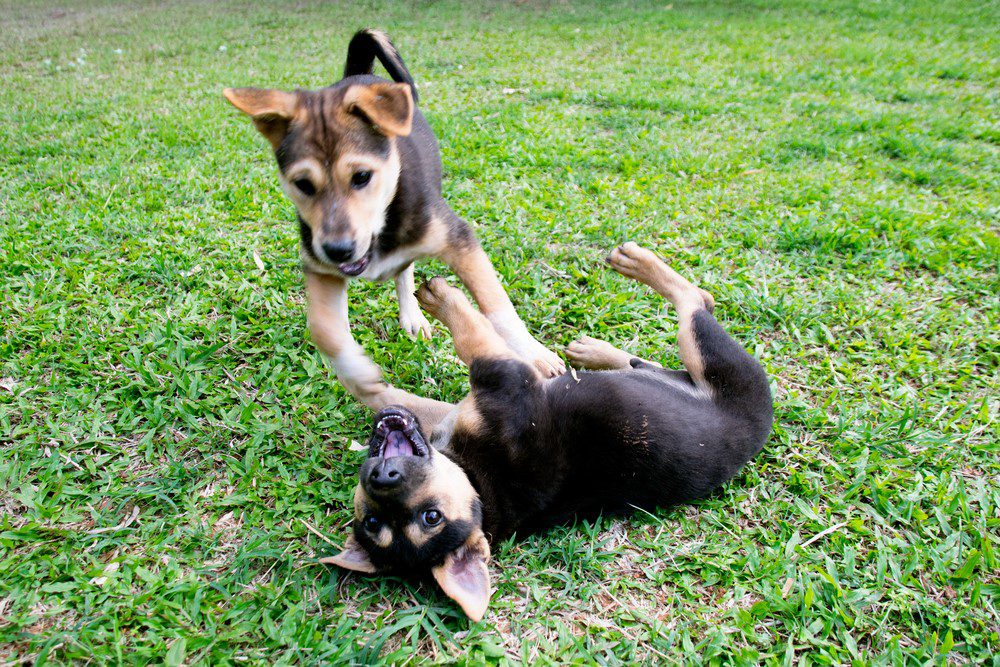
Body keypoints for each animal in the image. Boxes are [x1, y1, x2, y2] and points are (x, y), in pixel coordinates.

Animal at [320, 241, 772, 620]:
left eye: (431, 518)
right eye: (374, 522)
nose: (383, 476)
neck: (480, 485)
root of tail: (758, 429)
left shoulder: (499, 378)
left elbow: (465, 340)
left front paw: (435, 302)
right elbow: (432, 370)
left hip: (716, 364)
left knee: (695, 303)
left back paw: (611, 310)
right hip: (709, 362)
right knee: (689, 313)